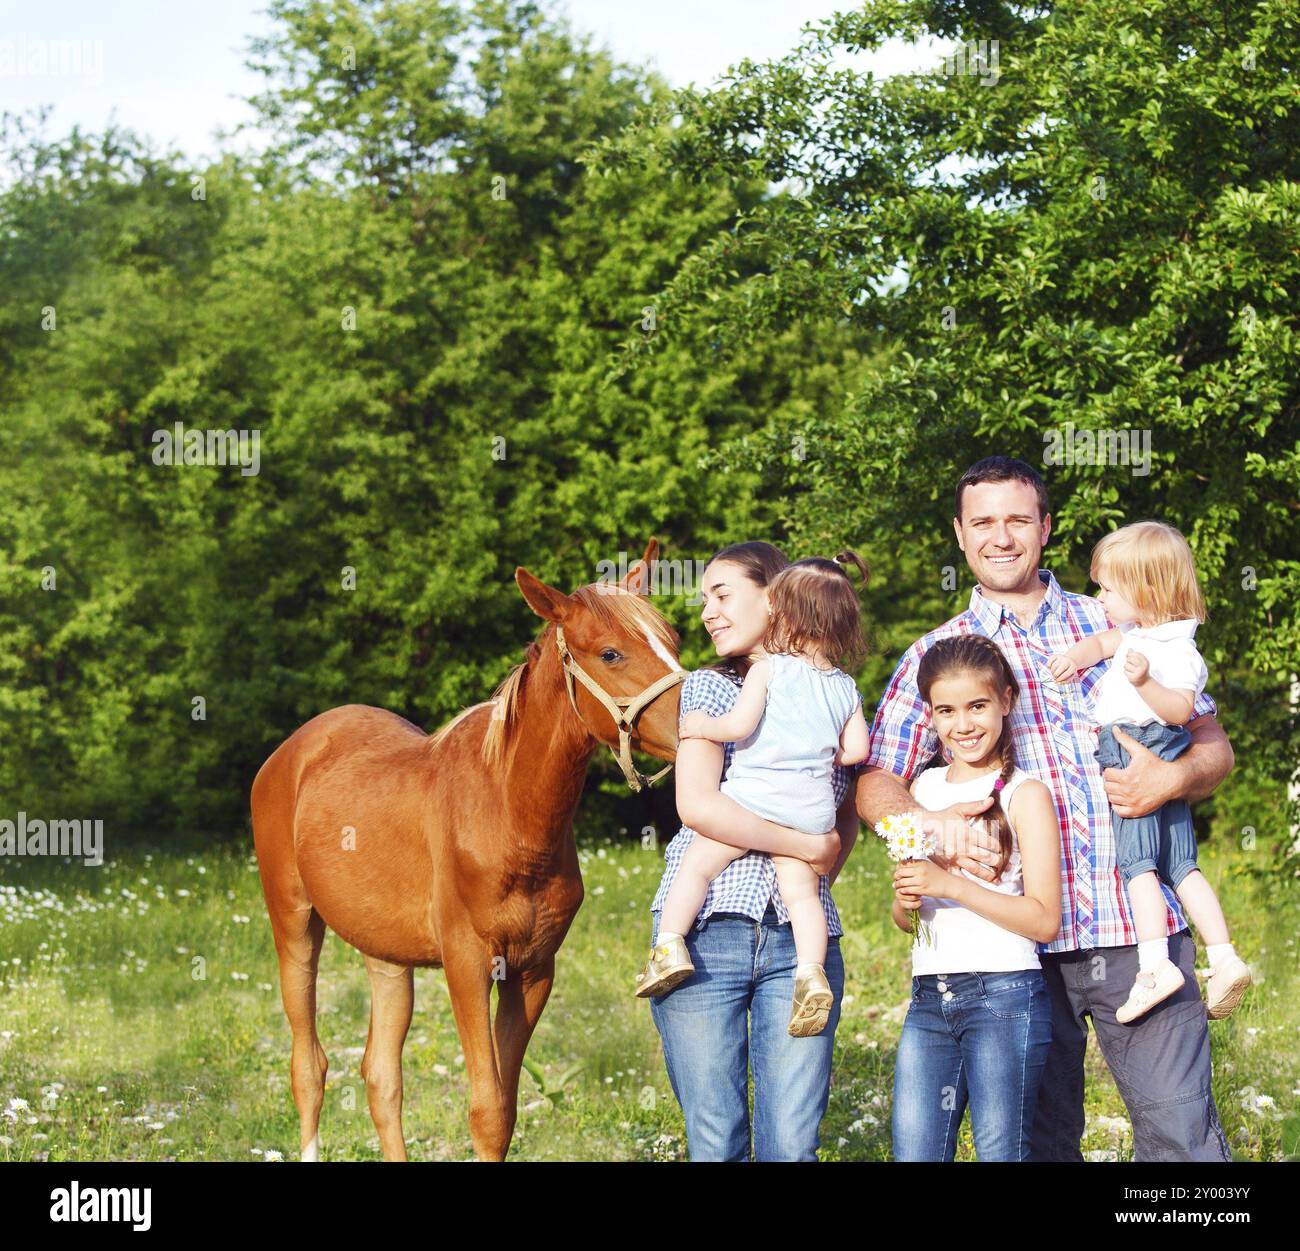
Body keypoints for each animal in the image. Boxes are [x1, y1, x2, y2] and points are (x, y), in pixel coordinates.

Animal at [246, 538, 686, 1159]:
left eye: (672, 638)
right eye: (610, 653)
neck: (507, 815)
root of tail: (290, 751)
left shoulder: (533, 971)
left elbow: (502, 1110)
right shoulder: (467, 965)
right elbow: (486, 1108)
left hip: (386, 955)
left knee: (381, 1077)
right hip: (293, 925)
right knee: (308, 1068)